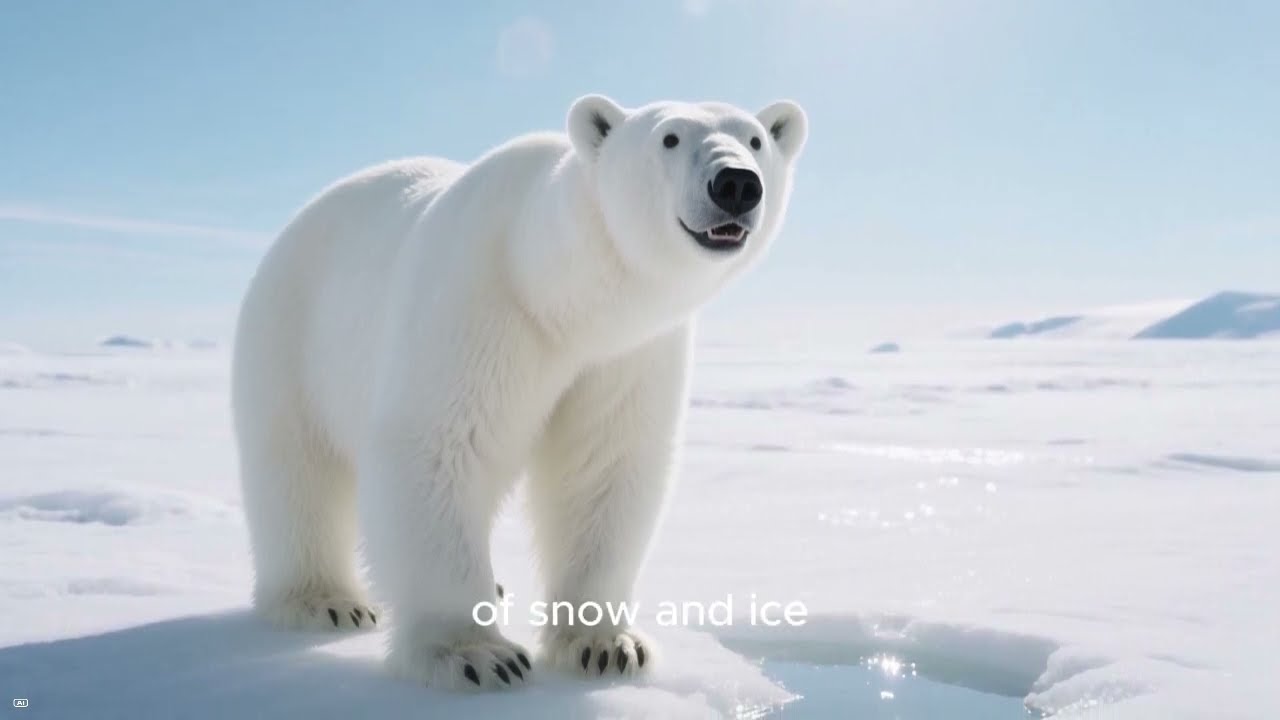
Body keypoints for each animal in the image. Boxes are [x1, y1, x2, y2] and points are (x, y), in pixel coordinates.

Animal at [231, 94, 807, 691]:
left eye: (755, 139)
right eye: (669, 137)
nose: (736, 183)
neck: (554, 289)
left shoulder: (627, 353)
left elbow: (604, 467)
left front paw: (606, 645)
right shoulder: (479, 304)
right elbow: (438, 447)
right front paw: (476, 654)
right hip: (292, 335)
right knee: (297, 471)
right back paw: (324, 600)